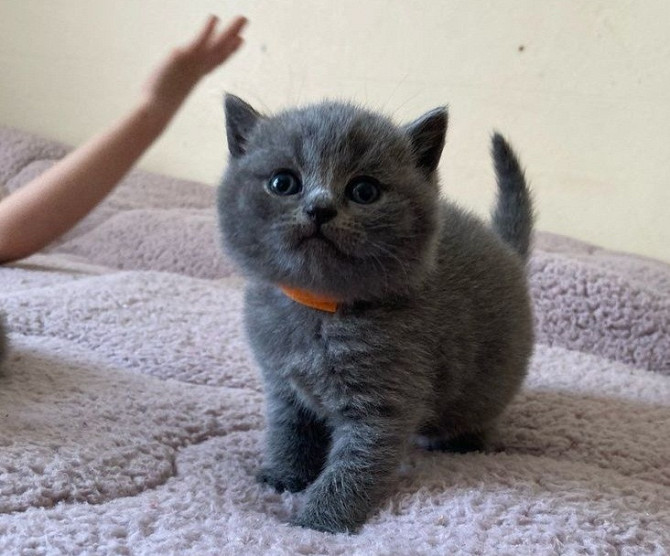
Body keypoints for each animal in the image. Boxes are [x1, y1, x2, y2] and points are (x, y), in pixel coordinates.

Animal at [218, 95, 532, 536]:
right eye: (283, 183)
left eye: (364, 190)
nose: (319, 208)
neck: (322, 311)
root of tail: (506, 249)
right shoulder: (282, 385)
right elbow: (288, 432)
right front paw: (284, 476)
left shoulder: (383, 401)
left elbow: (356, 464)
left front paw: (319, 520)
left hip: (487, 388)